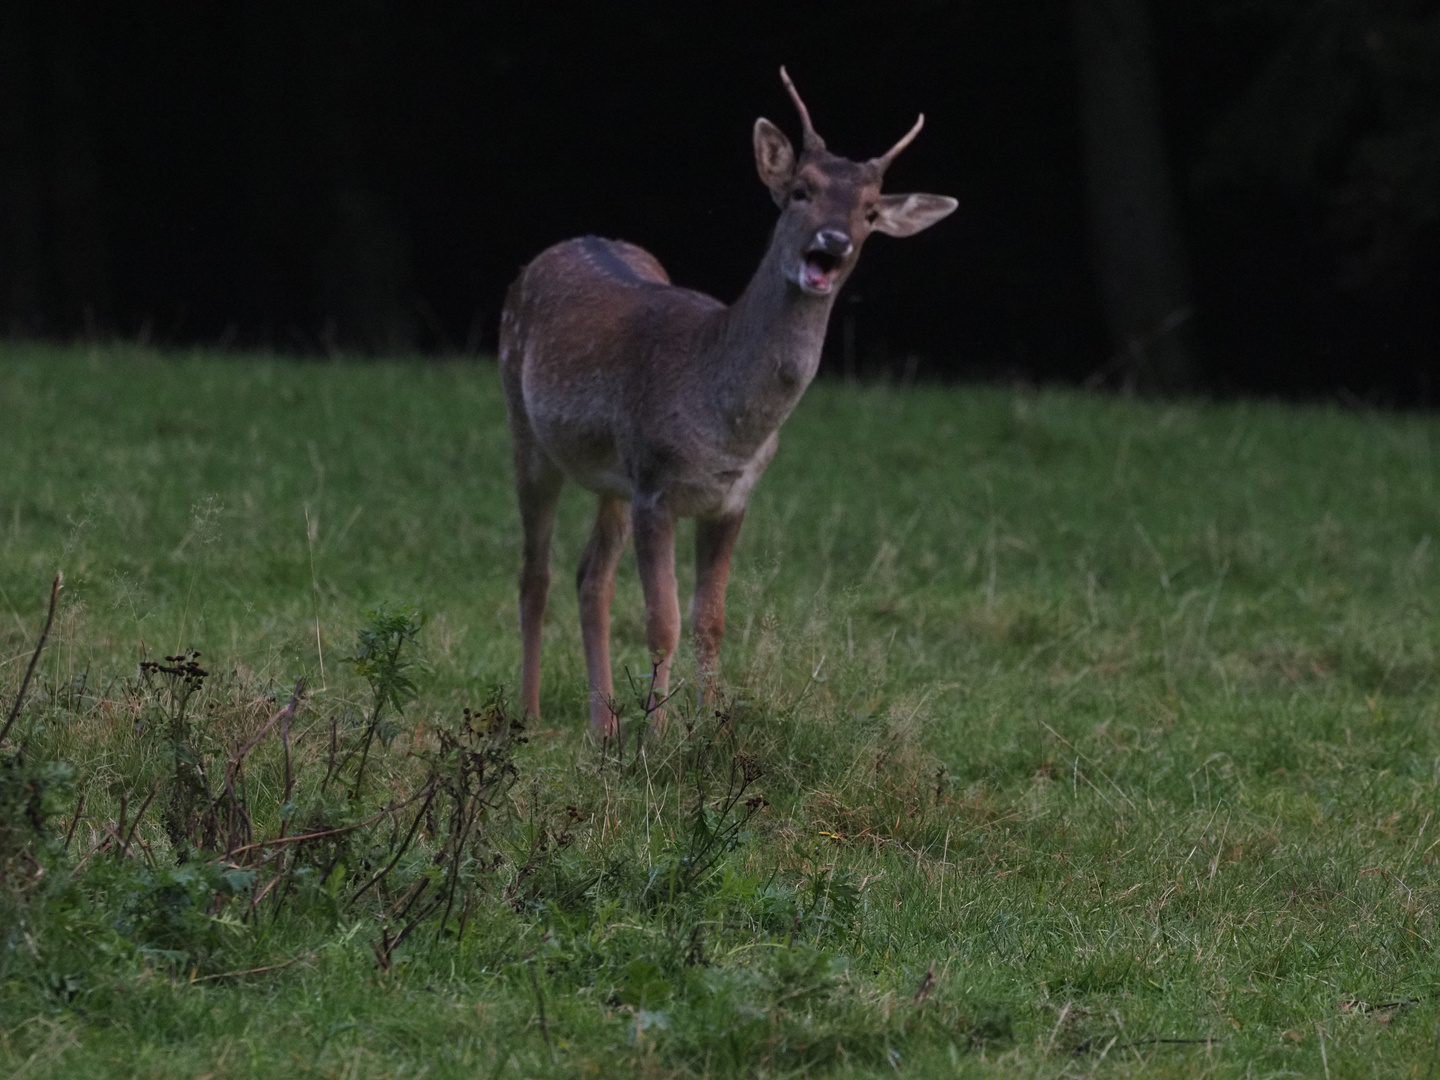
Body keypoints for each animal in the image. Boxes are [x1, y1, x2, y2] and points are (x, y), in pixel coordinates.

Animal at [498, 67, 956, 737]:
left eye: (870, 210)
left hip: (610, 476)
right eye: (800, 191)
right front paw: (656, 739)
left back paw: (600, 727)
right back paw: (530, 718)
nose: (834, 241)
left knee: (591, 577)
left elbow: (710, 621)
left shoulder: (731, 497)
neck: (727, 424)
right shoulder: (656, 486)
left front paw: (706, 730)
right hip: (526, 428)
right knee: (536, 572)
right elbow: (663, 622)